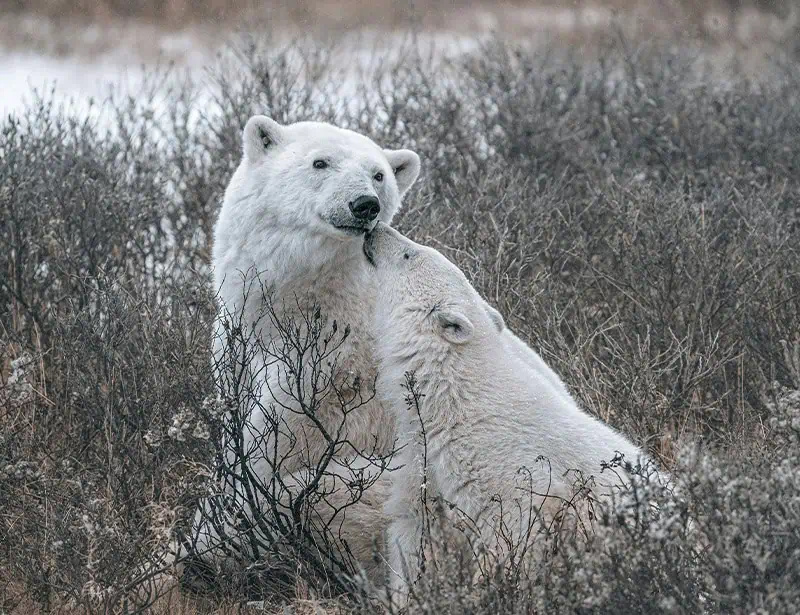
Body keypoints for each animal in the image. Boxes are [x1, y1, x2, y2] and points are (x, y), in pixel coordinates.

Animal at [186, 115, 421, 587]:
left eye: (378, 174)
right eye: (320, 162)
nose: (365, 205)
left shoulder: (325, 374)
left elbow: (265, 453)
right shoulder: (237, 346)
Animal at [362, 222, 650, 604]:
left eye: (410, 254)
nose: (375, 228)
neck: (457, 396)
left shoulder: (511, 473)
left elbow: (511, 534)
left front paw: (490, 590)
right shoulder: (423, 458)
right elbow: (415, 526)